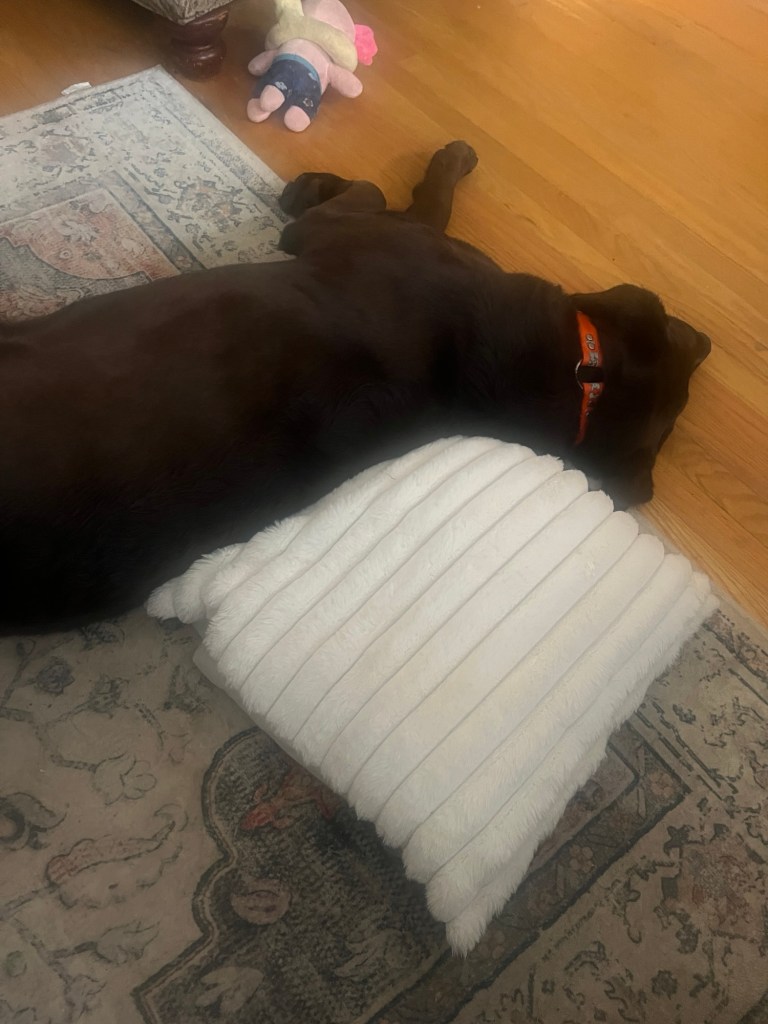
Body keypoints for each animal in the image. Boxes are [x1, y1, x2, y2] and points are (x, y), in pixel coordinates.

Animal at [0, 142, 710, 634]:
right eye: (684, 346)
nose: (707, 341)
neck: (563, 383)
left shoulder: (349, 233)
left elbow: (384, 193)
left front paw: (412, 165)